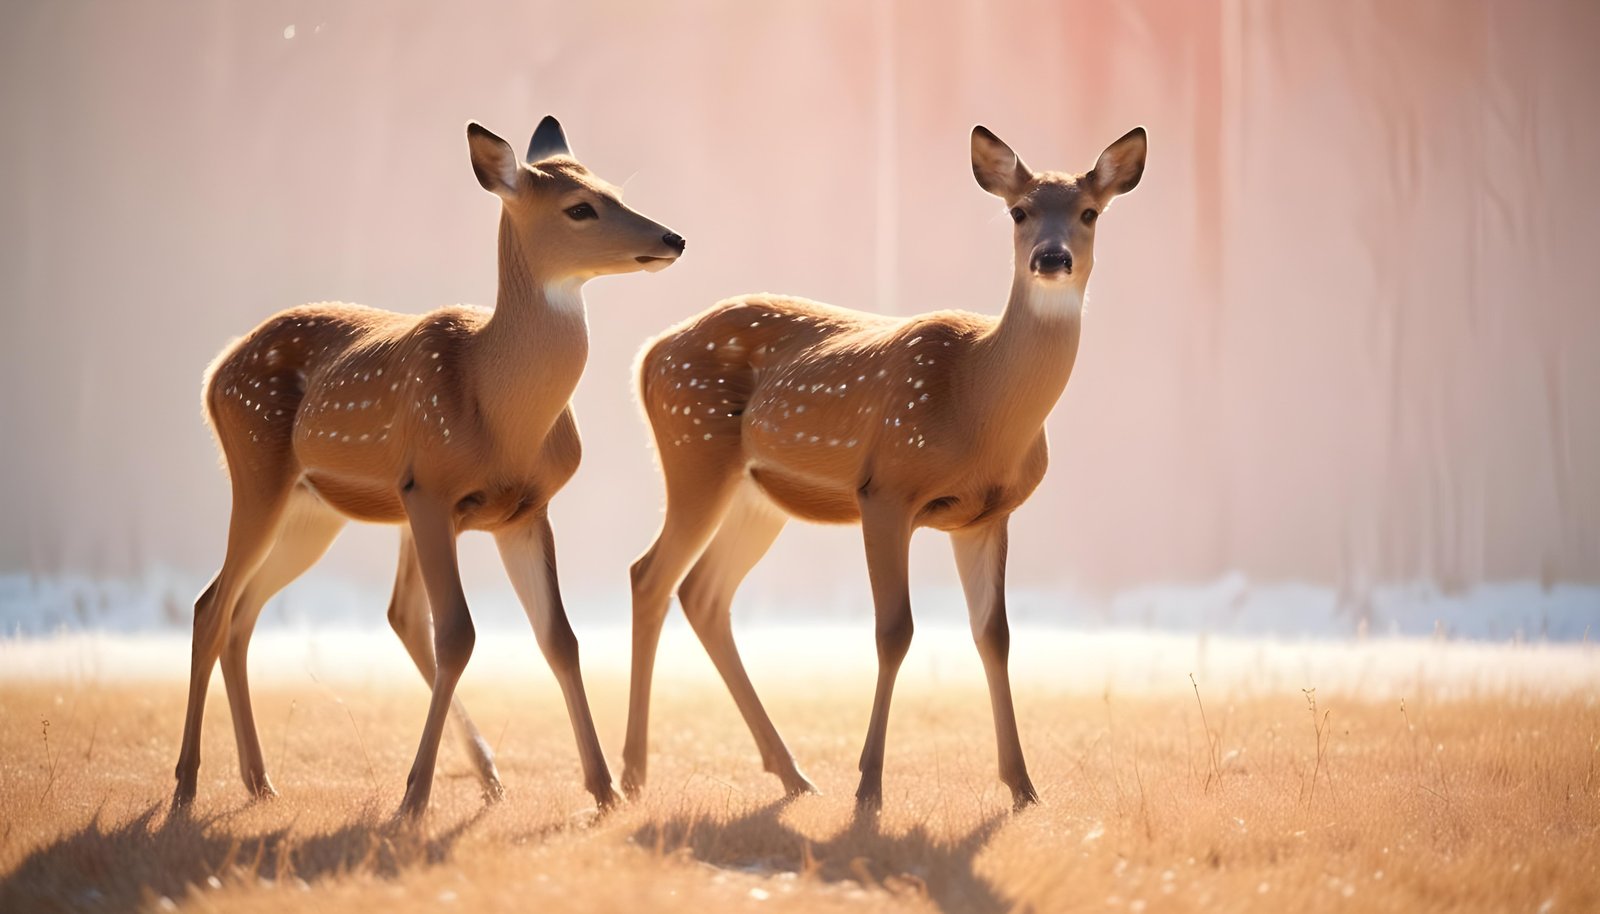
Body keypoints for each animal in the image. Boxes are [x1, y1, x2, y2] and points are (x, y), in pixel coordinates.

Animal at [175, 116, 686, 820]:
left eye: (614, 189)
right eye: (580, 208)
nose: (673, 238)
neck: (498, 404)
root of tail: (213, 374)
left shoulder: (524, 510)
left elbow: (559, 637)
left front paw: (605, 791)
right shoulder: (430, 489)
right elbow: (460, 635)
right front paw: (413, 797)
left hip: (314, 512)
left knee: (250, 615)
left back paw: (261, 781)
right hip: (258, 470)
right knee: (211, 607)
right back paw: (186, 786)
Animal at [621, 125, 1146, 811]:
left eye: (1089, 212)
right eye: (1019, 212)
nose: (1052, 258)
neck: (977, 400)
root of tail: (650, 354)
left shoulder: (986, 516)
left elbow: (995, 635)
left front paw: (1023, 787)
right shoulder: (886, 489)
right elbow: (894, 631)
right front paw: (869, 787)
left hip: (756, 495)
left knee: (703, 593)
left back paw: (791, 774)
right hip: (695, 450)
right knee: (649, 576)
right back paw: (632, 776)